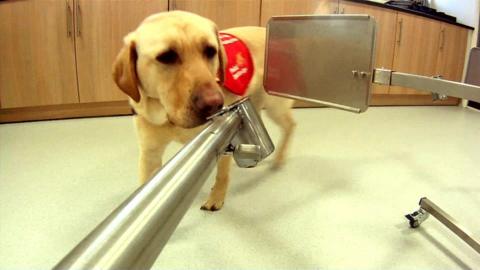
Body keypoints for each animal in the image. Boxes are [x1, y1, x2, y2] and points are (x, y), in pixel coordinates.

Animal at [112, 11, 294, 211]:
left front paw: (216, 198)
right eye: (166, 56)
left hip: (275, 105)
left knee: (290, 125)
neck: (171, 119)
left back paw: (279, 158)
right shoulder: (150, 154)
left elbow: (222, 174)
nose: (214, 104)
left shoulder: (223, 139)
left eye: (210, 51)